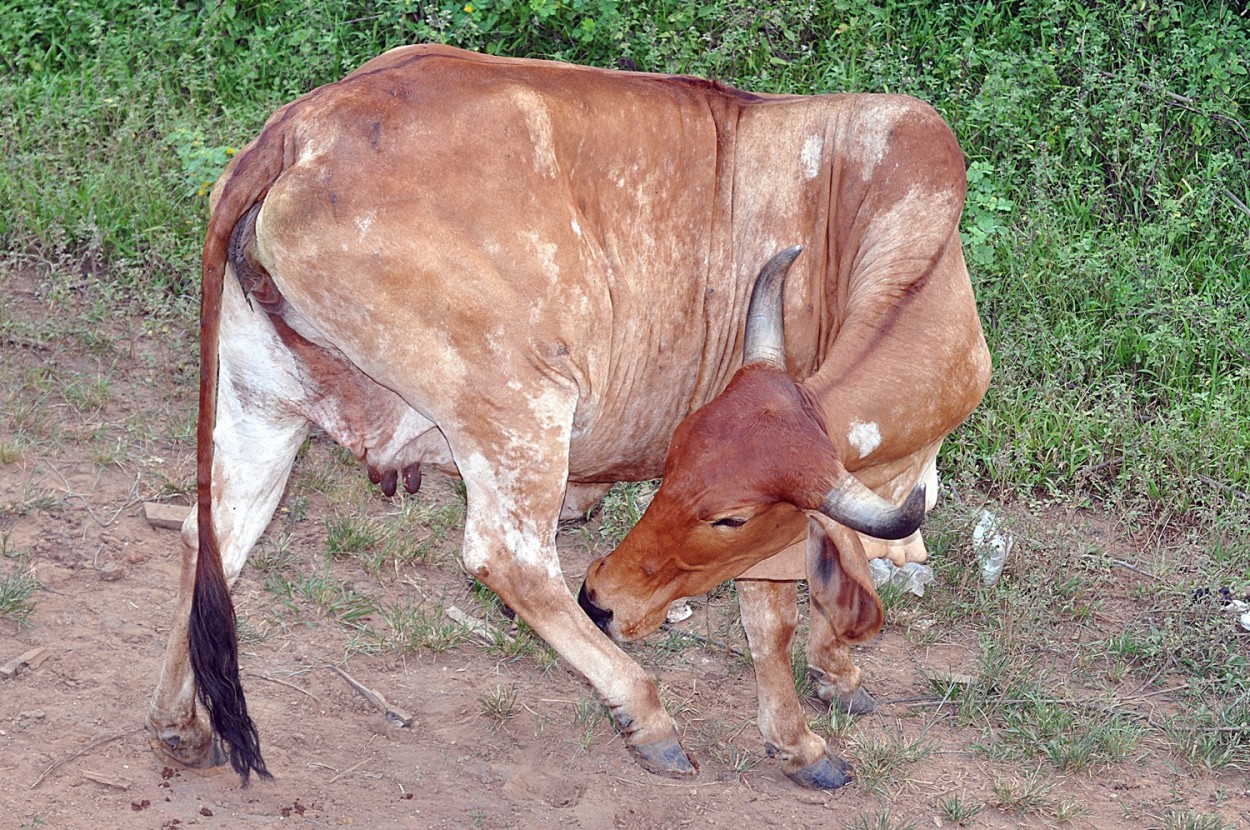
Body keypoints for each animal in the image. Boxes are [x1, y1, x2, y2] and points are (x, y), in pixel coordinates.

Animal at [143, 43, 985, 790]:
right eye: (726, 515)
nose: (604, 598)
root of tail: (306, 124)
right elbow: (770, 616)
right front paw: (800, 742)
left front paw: (838, 675)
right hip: (524, 398)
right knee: (507, 557)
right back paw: (647, 715)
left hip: (262, 406)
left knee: (211, 535)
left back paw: (181, 726)